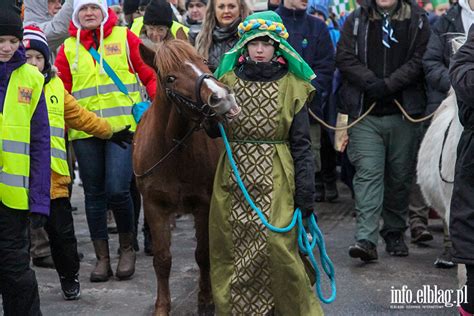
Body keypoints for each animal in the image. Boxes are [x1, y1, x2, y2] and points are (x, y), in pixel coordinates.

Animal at [132, 40, 239, 316]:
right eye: (170, 77)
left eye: (204, 62)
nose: (221, 98)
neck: (173, 149)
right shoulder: (154, 206)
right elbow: (162, 259)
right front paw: (162, 306)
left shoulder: (203, 204)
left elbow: (203, 254)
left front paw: (206, 300)